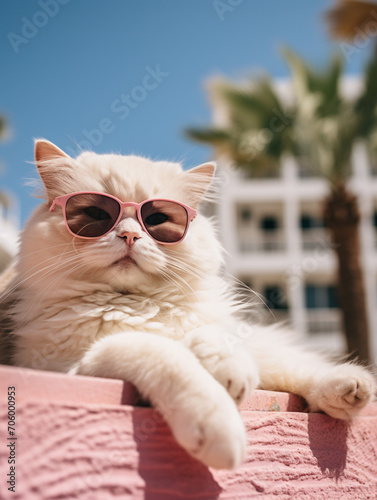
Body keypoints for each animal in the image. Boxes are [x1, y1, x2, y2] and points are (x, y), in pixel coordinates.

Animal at [0, 140, 374, 468]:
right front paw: (220, 424)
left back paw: (350, 388)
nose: (129, 236)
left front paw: (229, 371)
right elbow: (166, 355)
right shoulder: (73, 364)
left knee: (297, 368)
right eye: (95, 214)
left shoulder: (203, 325)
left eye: (157, 220)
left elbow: (214, 341)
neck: (138, 304)